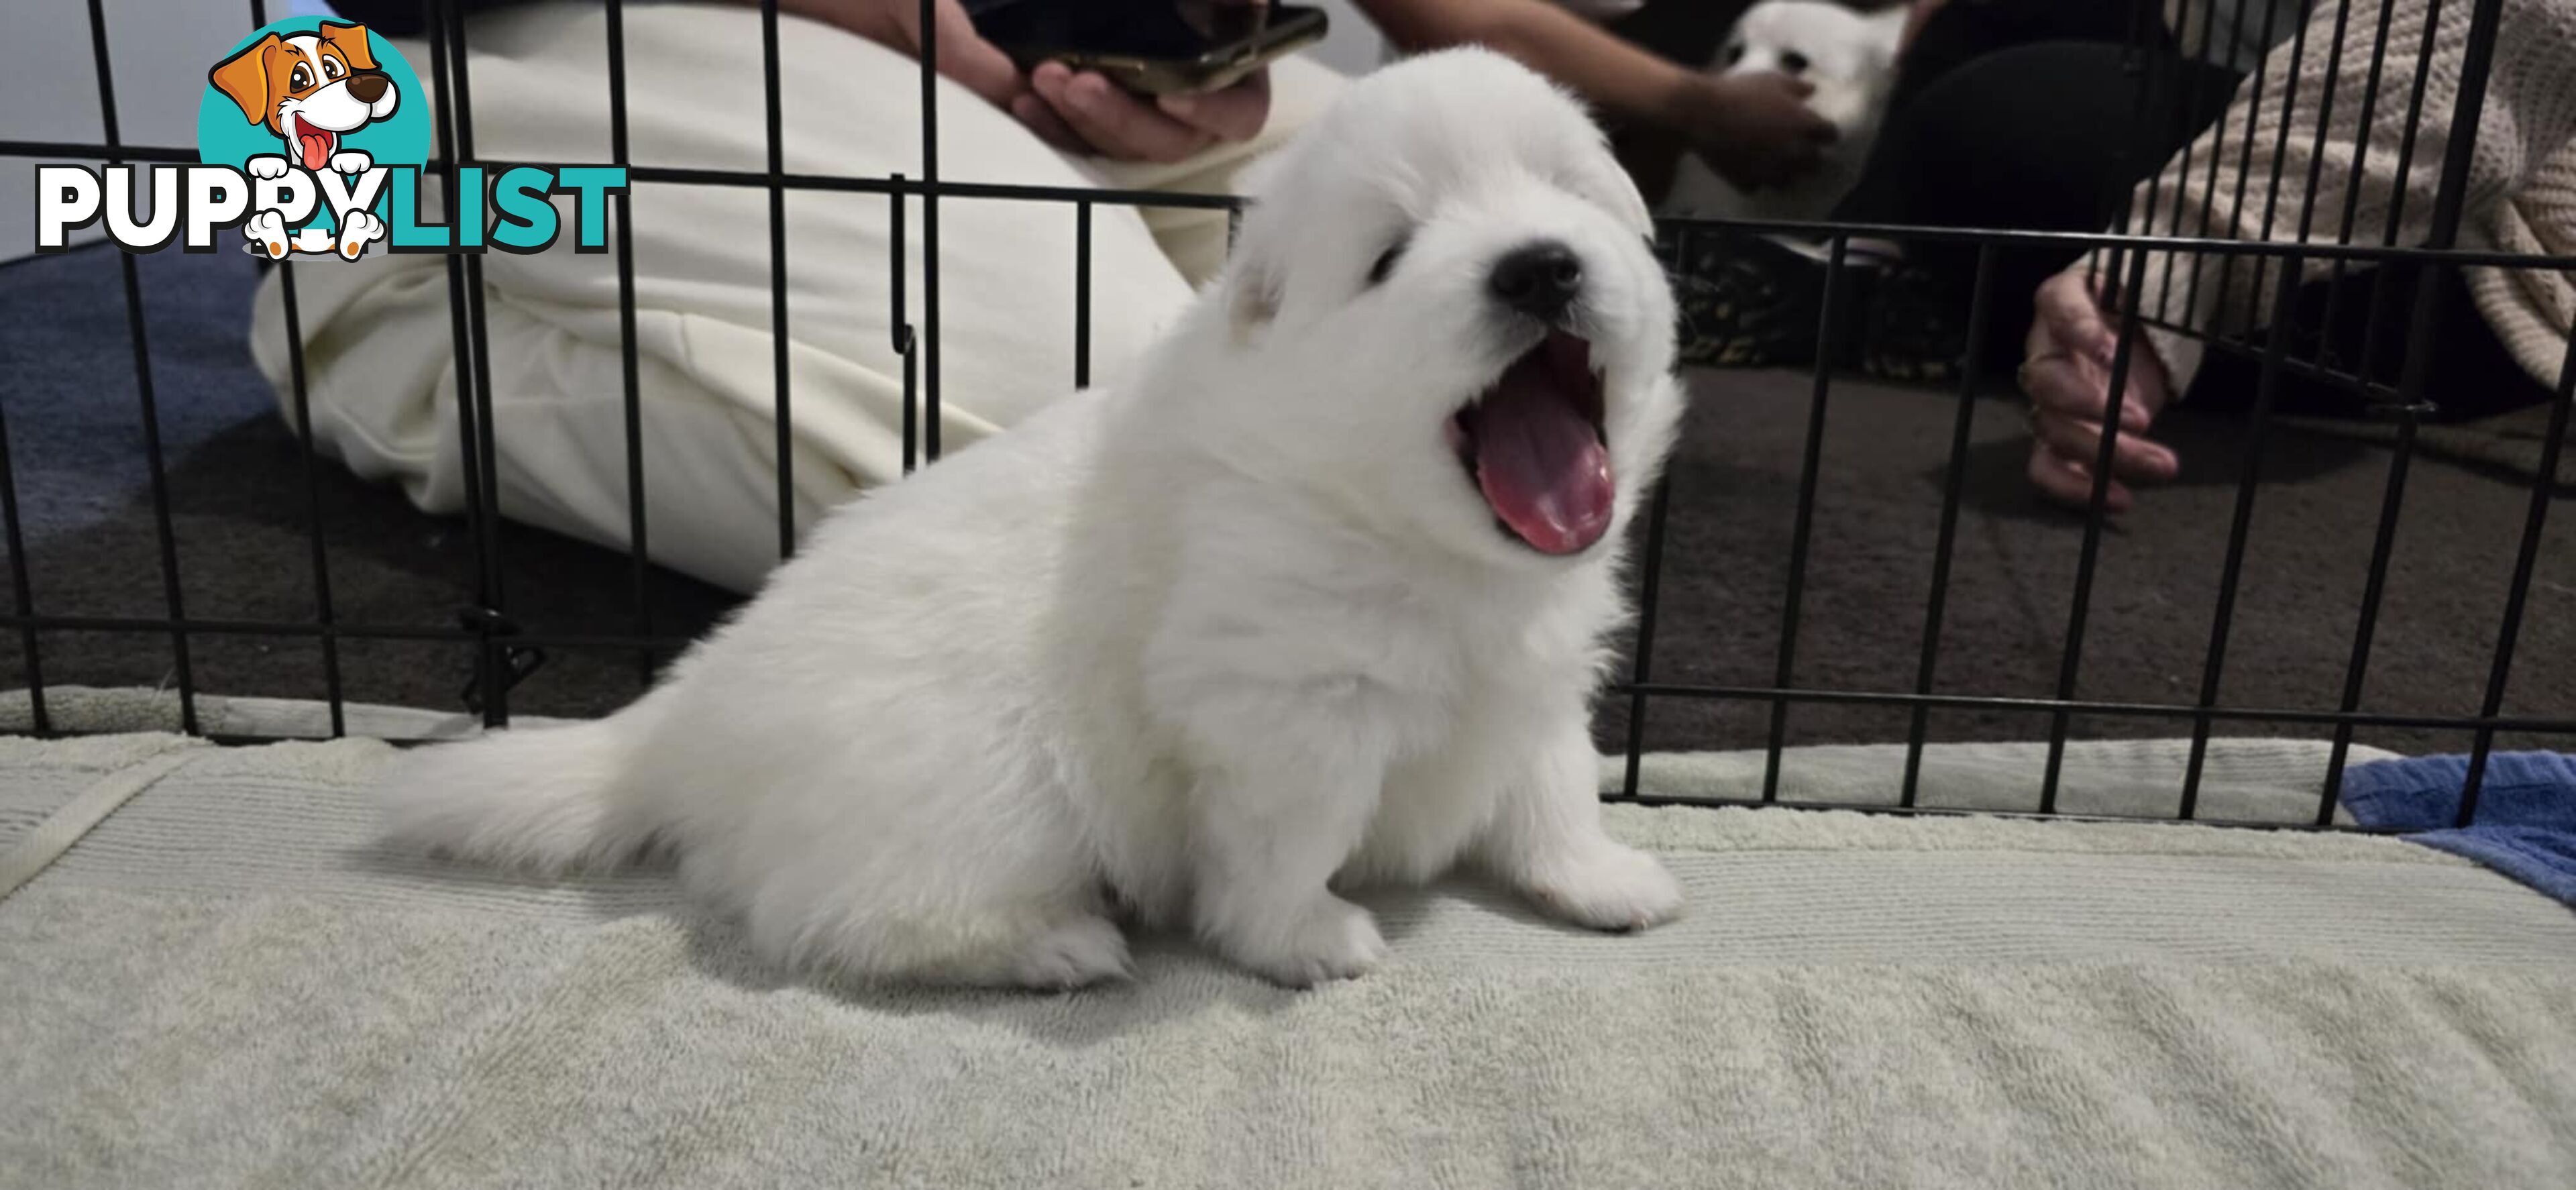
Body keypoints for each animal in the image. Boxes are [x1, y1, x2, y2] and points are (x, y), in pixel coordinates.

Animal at [373, 51, 1679, 989]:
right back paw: (1056, 944)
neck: (1429, 543)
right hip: (986, 791)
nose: (1539, 266)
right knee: (837, 914)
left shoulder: (1541, 676)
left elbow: (1554, 787)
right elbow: (1285, 841)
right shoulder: (1289, 708)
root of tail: (676, 721)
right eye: (1390, 256)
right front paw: (1302, 939)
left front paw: (1603, 879)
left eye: (1569, 196)